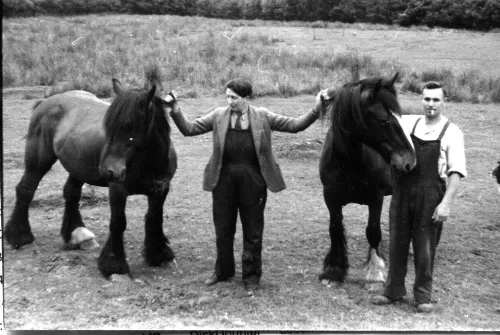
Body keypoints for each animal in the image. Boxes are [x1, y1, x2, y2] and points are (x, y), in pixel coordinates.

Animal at [5, 79, 178, 278]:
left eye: (130, 124)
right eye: (108, 126)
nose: (108, 170)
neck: (148, 162)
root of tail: (46, 102)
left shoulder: (160, 190)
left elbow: (154, 219)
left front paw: (158, 255)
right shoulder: (118, 190)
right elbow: (118, 223)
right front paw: (114, 265)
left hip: (77, 168)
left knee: (71, 193)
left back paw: (76, 234)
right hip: (38, 163)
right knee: (26, 190)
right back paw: (19, 236)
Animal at [318, 73, 416, 286]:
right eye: (382, 120)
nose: (409, 161)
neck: (350, 163)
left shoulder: (376, 198)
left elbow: (373, 232)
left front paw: (375, 271)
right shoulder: (330, 197)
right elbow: (335, 229)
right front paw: (334, 270)